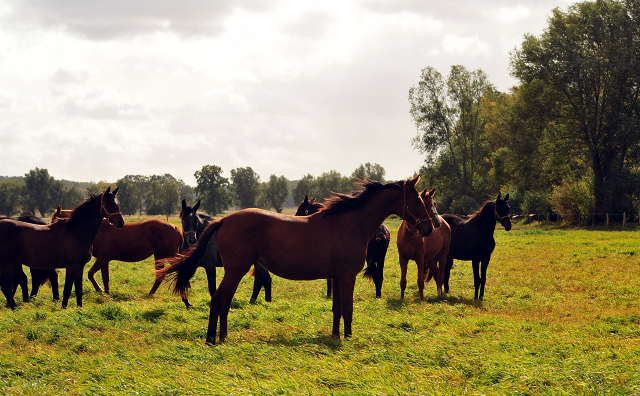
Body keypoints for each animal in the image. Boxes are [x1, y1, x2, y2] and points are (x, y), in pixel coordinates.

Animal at [51, 206, 184, 302]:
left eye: (55, 222)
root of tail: (177, 228)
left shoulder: (103, 259)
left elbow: (105, 277)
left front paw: (106, 294)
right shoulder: (101, 259)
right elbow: (90, 274)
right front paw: (100, 290)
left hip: (169, 256)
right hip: (159, 256)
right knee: (159, 276)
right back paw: (150, 294)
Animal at [159, 176, 436, 344]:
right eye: (417, 200)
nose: (428, 228)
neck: (349, 223)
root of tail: (225, 220)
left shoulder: (337, 277)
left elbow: (337, 309)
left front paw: (336, 336)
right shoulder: (347, 277)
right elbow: (347, 309)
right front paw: (347, 338)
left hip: (235, 272)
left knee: (224, 303)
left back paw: (224, 338)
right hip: (235, 270)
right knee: (217, 301)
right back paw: (211, 340)